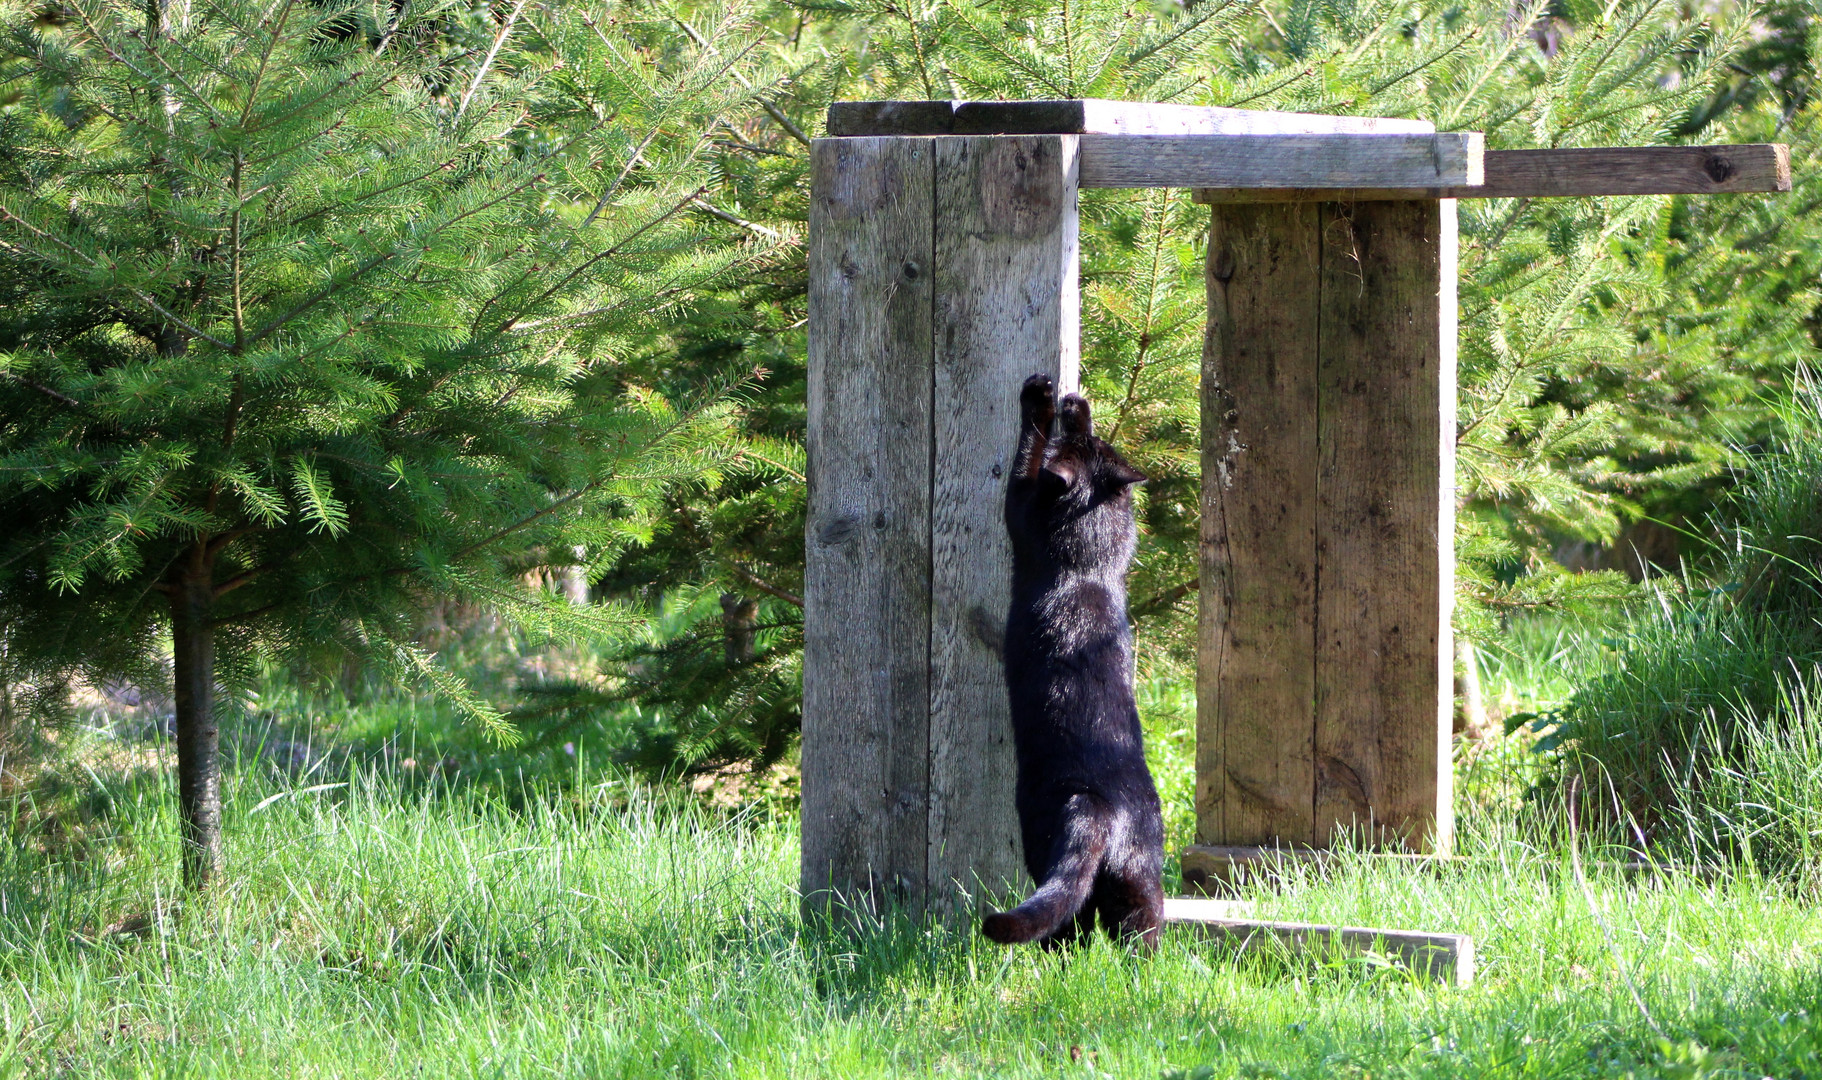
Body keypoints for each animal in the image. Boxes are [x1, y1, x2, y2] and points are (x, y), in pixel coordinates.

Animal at [983, 375, 1166, 947]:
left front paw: (1040, 398)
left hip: (1045, 846)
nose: (1068, 397)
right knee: (1138, 931)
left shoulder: (1020, 506)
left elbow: (1026, 453)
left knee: (1064, 923)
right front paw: (1069, 404)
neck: (1087, 569)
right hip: (1138, 883)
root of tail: (1098, 806)